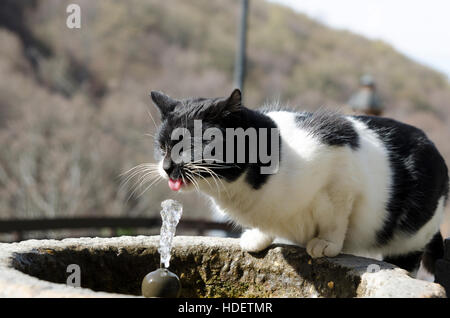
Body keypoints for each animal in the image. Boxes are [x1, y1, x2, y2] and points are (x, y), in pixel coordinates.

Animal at [149, 88, 448, 278]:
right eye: (162, 147)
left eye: (188, 147)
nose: (166, 167)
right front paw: (258, 237)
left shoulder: (341, 173)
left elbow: (336, 219)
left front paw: (326, 244)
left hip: (410, 238)